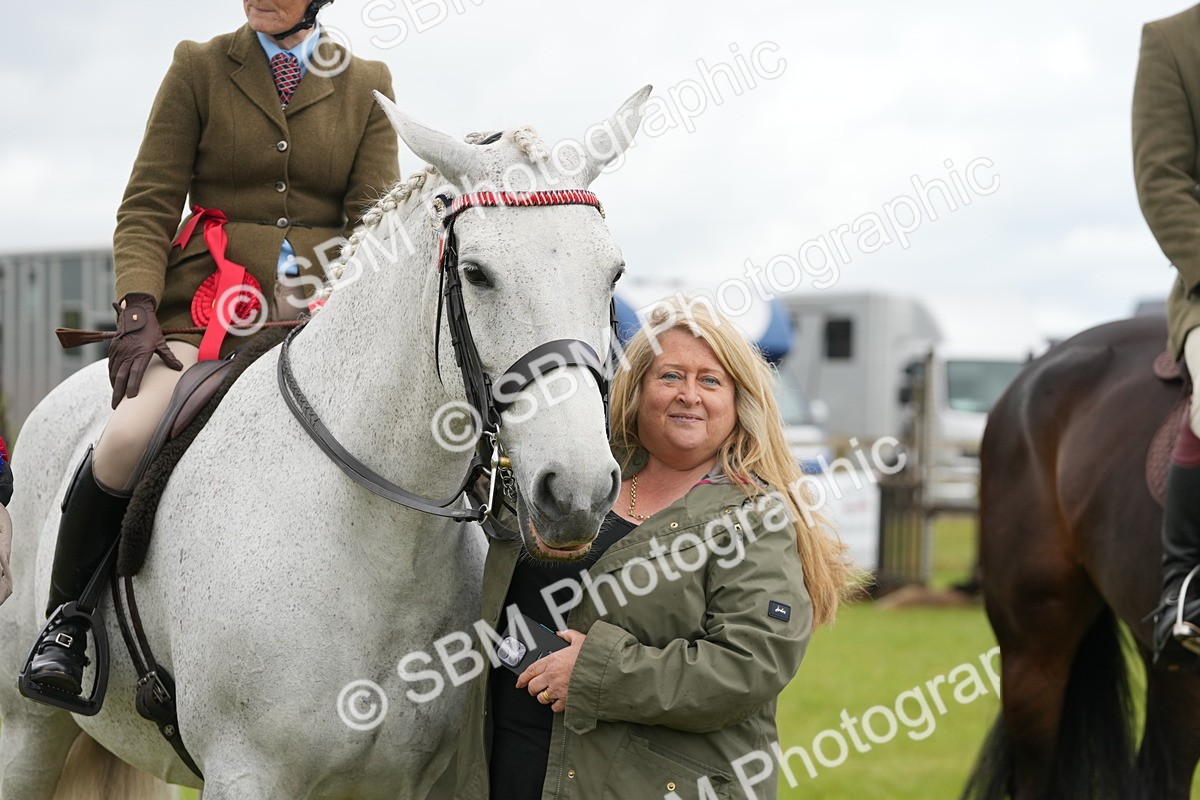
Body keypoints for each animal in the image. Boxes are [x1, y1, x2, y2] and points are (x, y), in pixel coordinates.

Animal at [0, 85, 652, 800]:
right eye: (478, 274)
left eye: (614, 274)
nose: (578, 490)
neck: (382, 542)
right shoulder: (246, 773)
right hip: (28, 730)